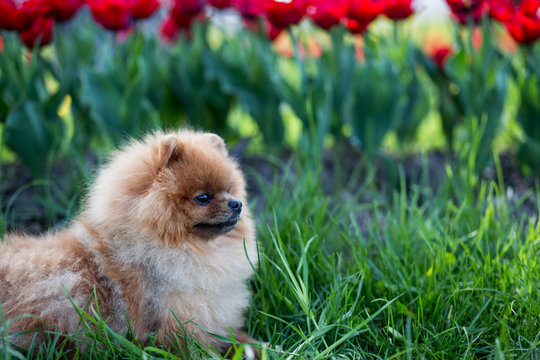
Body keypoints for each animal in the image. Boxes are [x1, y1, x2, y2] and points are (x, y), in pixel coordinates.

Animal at [0, 129, 260, 354]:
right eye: (203, 198)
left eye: (230, 189)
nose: (237, 204)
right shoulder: (179, 327)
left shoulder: (215, 320)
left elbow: (239, 339)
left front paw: (262, 347)